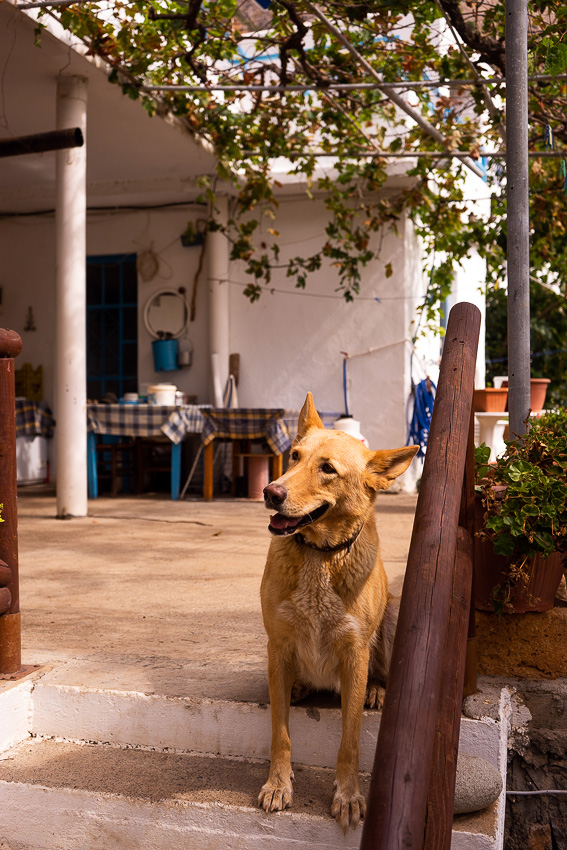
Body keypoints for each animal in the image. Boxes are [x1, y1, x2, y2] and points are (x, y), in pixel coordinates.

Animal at [260, 396, 420, 828]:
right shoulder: (277, 644)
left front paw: (348, 795)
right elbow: (280, 733)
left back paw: (377, 690)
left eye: (327, 468)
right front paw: (278, 784)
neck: (320, 556)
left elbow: (350, 740)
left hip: (393, 619)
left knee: (379, 673)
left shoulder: (354, 653)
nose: (270, 492)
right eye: (294, 457)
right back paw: (299, 686)